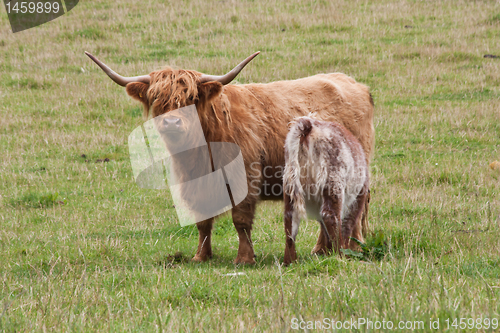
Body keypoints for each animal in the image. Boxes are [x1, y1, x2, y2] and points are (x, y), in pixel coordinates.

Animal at [284, 115, 370, 264]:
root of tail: (308, 125)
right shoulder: (356, 198)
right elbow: (347, 224)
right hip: (333, 181)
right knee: (330, 216)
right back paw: (341, 255)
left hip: (290, 184)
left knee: (290, 219)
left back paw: (290, 261)